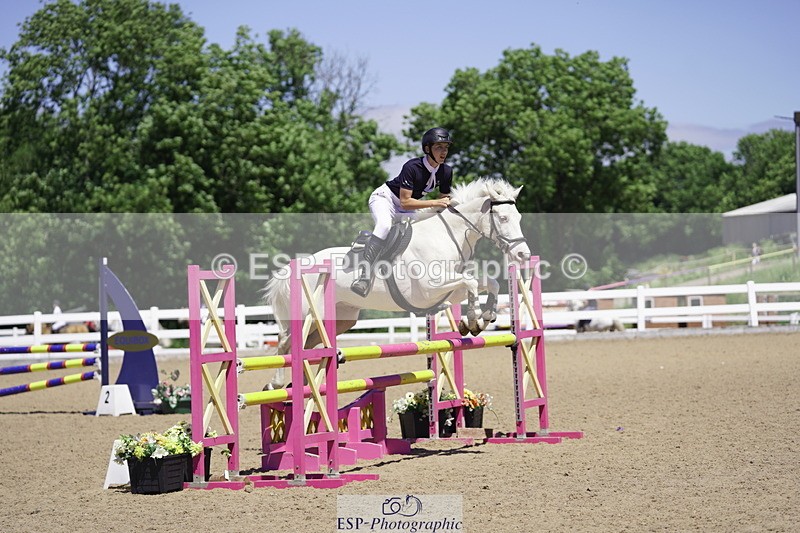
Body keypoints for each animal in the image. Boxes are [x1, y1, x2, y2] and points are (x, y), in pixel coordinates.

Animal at [264, 177, 531, 389]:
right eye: (503, 218)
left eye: (519, 217)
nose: (524, 255)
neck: (445, 237)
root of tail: (296, 266)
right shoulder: (429, 289)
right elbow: (472, 283)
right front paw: (473, 319)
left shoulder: (450, 291)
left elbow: (489, 283)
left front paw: (481, 320)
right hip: (308, 315)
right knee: (285, 344)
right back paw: (275, 384)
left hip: (341, 319)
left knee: (308, 345)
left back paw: (305, 383)